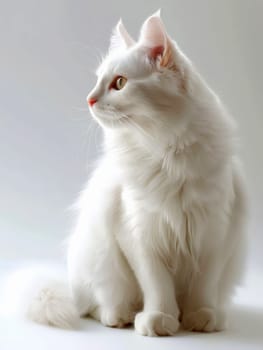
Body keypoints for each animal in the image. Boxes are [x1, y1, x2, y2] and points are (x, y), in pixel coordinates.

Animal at [4, 13, 249, 336]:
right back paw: (121, 316)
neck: (167, 155)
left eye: (119, 83)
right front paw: (159, 319)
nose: (89, 99)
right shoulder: (137, 231)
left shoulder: (215, 231)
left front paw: (201, 316)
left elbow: (203, 285)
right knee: (95, 305)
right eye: (97, 81)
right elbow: (157, 283)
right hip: (99, 263)